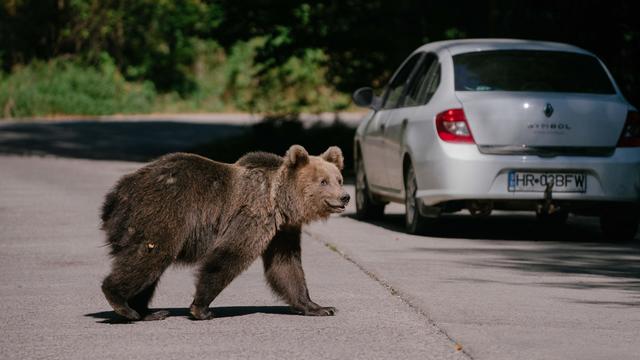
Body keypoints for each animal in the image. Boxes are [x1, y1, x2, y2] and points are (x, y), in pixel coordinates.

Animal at [100, 143, 350, 320]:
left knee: (150, 266)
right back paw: (123, 304)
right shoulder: (253, 215)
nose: (345, 197)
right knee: (150, 256)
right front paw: (201, 308)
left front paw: (319, 307)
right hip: (163, 212)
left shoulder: (282, 231)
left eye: (338, 179)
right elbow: (230, 255)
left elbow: (286, 266)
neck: (279, 202)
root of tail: (116, 194)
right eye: (323, 181)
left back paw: (147, 312)